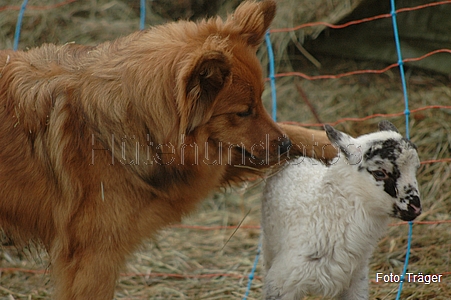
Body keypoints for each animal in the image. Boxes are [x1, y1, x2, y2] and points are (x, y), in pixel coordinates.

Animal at [0, 1, 336, 298]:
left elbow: (294, 129)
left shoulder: (201, 167)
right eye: (243, 112)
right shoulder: (92, 258)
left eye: (262, 102)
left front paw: (336, 146)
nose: (284, 146)